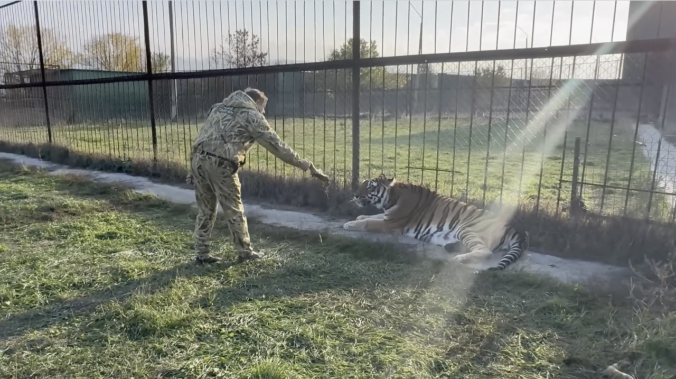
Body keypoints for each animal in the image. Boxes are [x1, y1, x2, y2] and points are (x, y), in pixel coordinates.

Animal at [346, 174, 532, 272]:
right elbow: (373, 216)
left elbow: (370, 222)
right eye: (362, 184)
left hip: (467, 229)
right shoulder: (388, 217)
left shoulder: (392, 223)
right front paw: (358, 217)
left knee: (485, 251)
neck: (391, 198)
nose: (355, 195)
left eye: (370, 187)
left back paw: (459, 258)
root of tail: (513, 228)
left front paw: (349, 224)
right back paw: (450, 247)